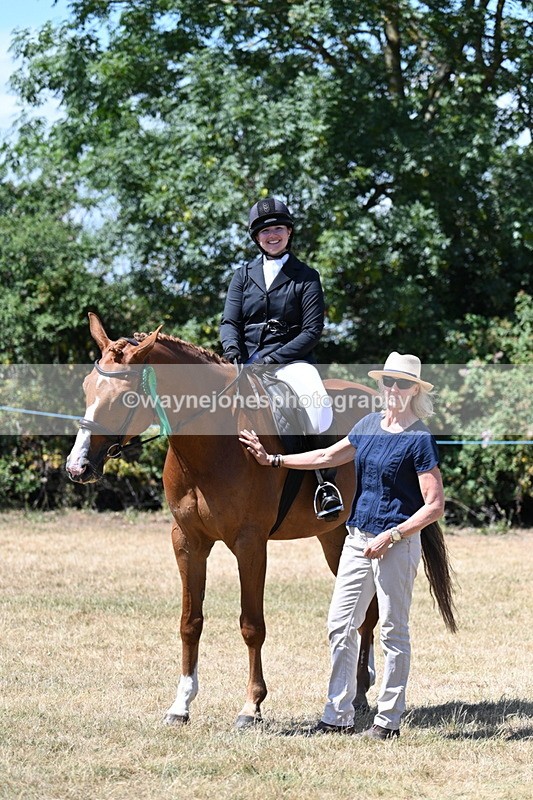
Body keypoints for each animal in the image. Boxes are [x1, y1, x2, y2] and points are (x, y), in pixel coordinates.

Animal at [66, 313, 456, 728]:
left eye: (123, 397)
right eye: (87, 388)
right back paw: (359, 692)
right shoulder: (187, 541)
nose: (77, 467)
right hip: (335, 538)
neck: (212, 445)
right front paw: (181, 705)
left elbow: (251, 625)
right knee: (364, 613)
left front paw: (251, 706)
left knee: (367, 615)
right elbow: (190, 622)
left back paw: (359, 695)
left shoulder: (250, 544)